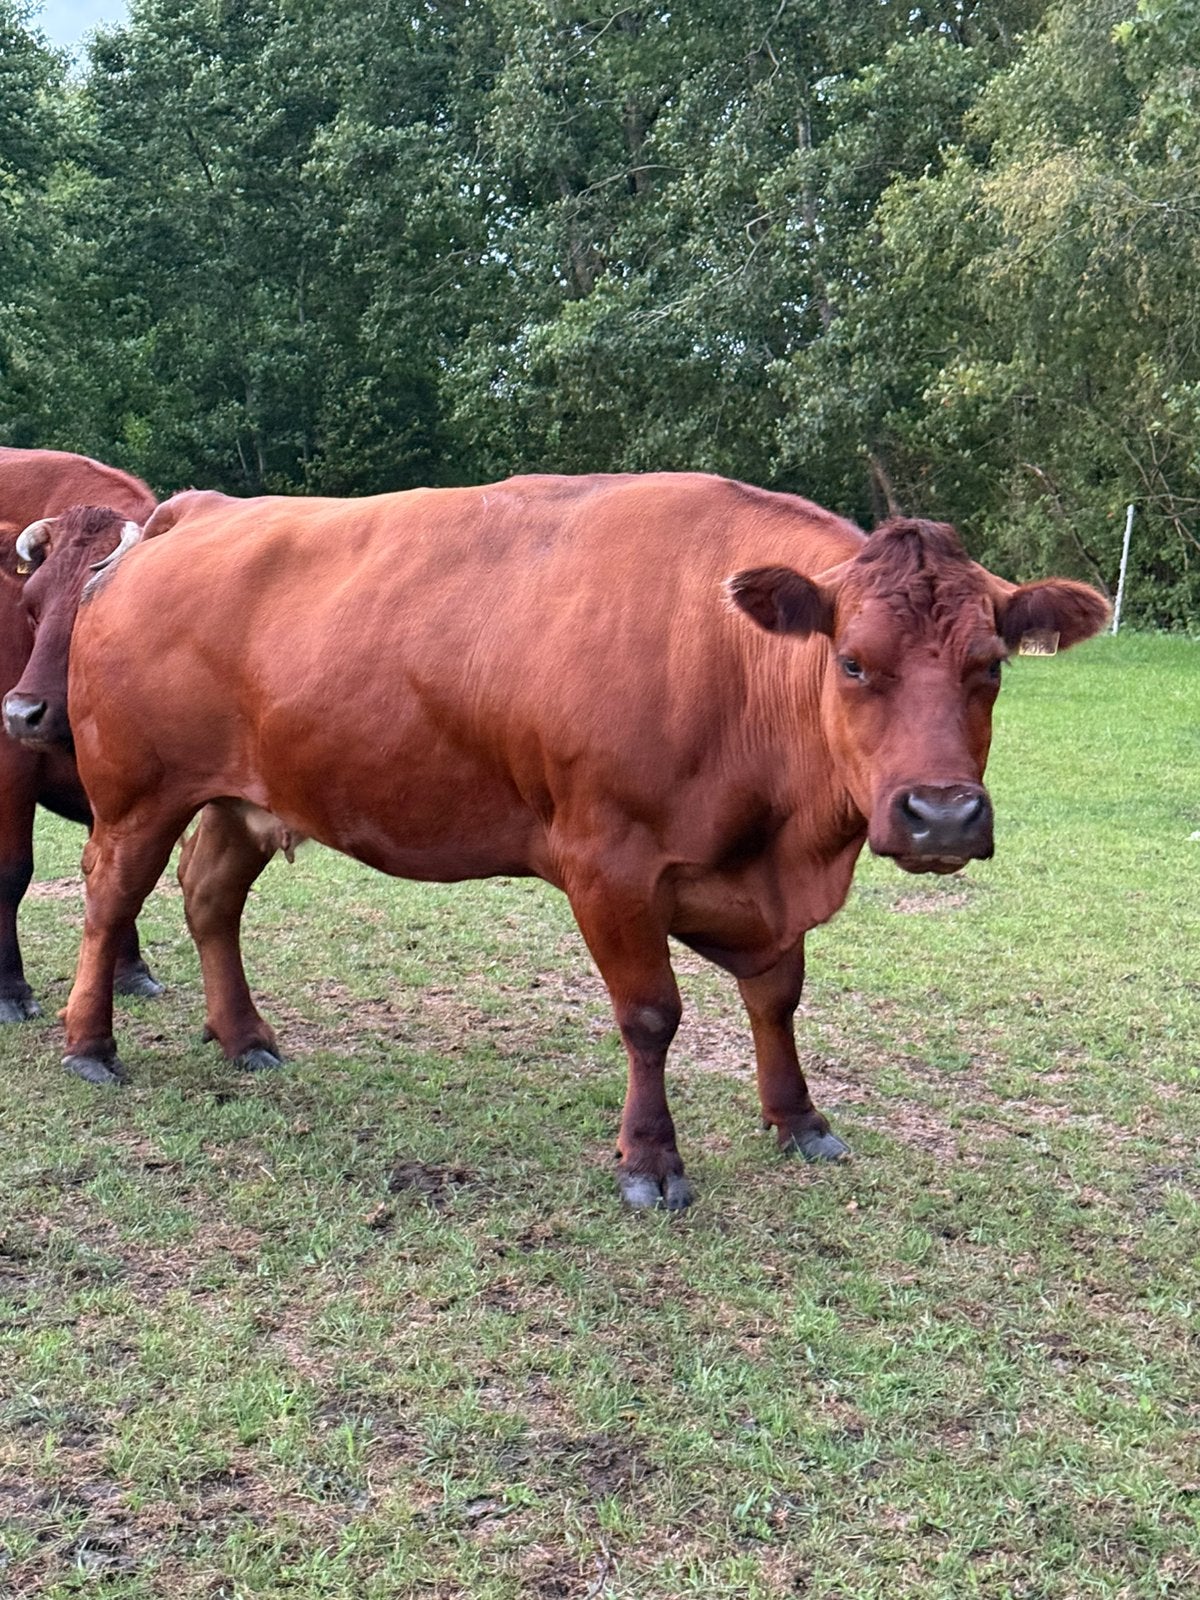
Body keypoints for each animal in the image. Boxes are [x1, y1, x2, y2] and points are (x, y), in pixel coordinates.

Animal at [0, 450, 162, 1021]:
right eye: (31, 606)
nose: (22, 712)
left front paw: (129, 970)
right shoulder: (8, 763)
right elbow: (12, 871)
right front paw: (10, 989)